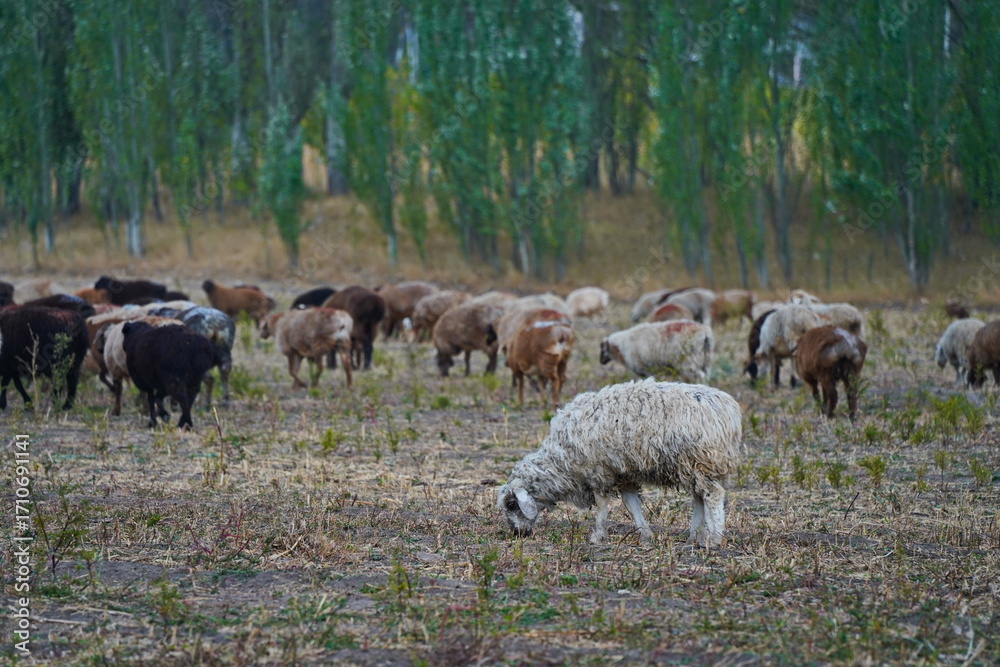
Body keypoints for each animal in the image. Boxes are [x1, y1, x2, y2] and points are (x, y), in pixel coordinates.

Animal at [497, 379, 743, 547]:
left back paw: (714, 538)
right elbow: (630, 504)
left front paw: (597, 535)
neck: (560, 461)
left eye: (511, 505)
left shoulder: (598, 471)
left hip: (701, 460)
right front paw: (645, 533)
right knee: (699, 497)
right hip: (693, 466)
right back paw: (694, 536)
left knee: (713, 495)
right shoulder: (623, 472)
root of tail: (729, 410)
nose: (517, 534)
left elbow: (602, 505)